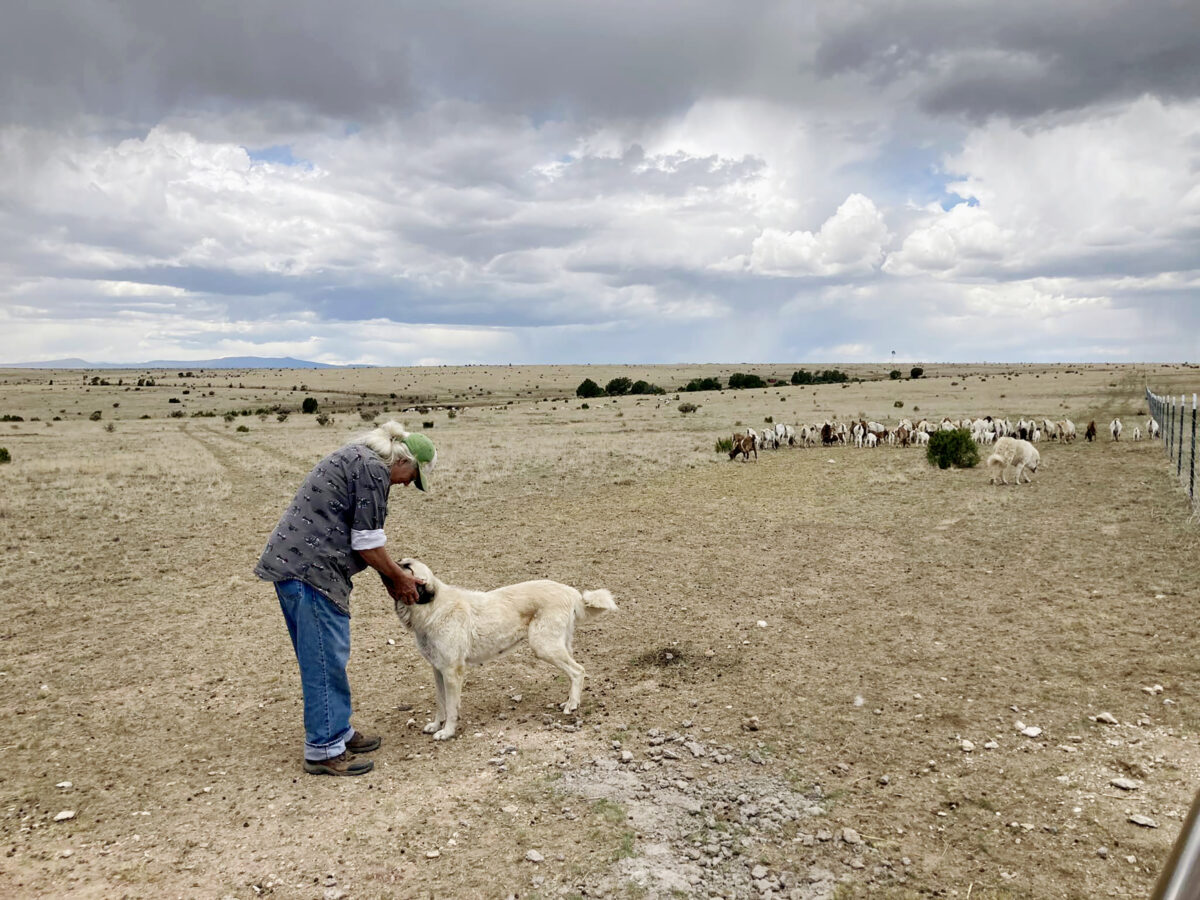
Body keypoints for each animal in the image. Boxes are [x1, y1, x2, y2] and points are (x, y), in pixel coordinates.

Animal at [393, 561, 619, 744]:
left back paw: (572, 705)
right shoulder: (438, 670)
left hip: (544, 646)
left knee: (578, 671)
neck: (432, 608)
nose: (390, 564)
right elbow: (440, 702)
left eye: (407, 567)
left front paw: (447, 732)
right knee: (573, 673)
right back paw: (571, 700)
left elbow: (450, 707)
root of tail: (570, 591)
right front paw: (435, 725)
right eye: (400, 562)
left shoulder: (451, 672)